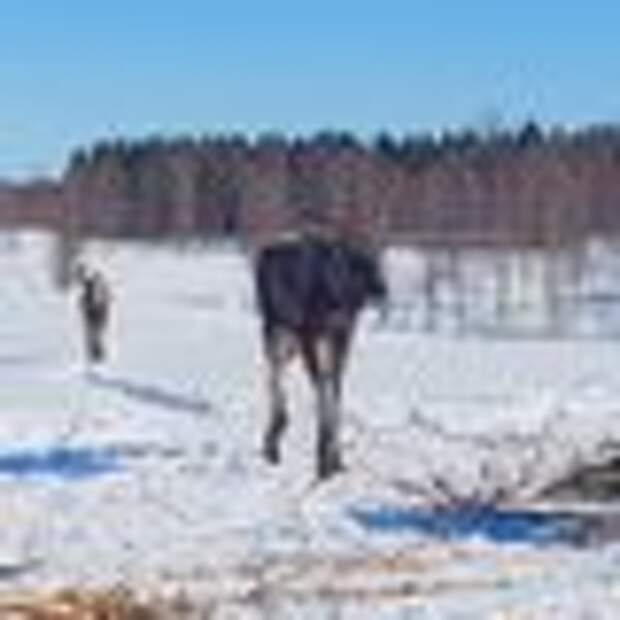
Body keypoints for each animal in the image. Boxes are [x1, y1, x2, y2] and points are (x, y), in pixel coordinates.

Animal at [254, 232, 386, 480]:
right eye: (360, 264)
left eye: (376, 262)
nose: (381, 289)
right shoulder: (312, 332)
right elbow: (325, 388)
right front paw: (324, 458)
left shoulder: (342, 334)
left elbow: (335, 387)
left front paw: (334, 458)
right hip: (277, 326)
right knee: (276, 371)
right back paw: (274, 439)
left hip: (289, 332)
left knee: (281, 371)